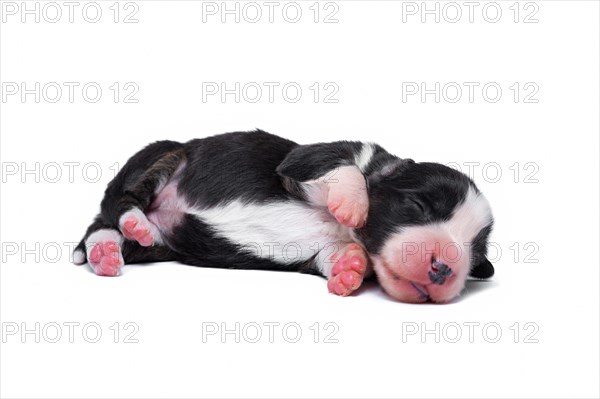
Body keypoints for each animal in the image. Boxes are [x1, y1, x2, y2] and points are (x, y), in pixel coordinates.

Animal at [72, 130, 494, 304]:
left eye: (475, 255)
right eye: (421, 206)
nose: (444, 268)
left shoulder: (326, 249)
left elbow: (333, 257)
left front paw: (351, 271)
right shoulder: (307, 159)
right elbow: (348, 170)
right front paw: (353, 205)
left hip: (162, 245)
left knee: (104, 230)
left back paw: (106, 252)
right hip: (163, 153)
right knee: (116, 204)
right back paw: (133, 222)